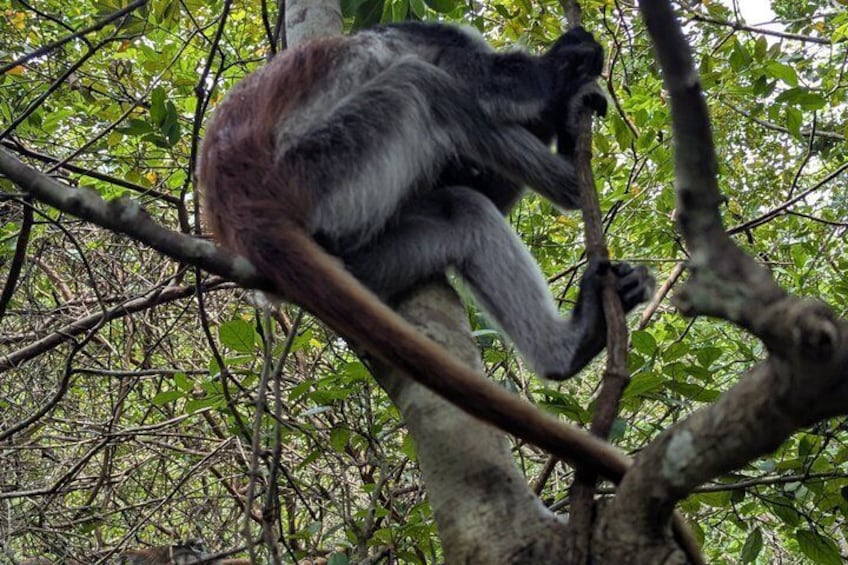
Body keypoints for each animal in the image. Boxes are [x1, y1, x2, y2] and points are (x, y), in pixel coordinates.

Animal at [199, 22, 654, 387]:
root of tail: (240, 210)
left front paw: (565, 117)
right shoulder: (440, 41)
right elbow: (491, 86)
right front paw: (568, 68)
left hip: (365, 251)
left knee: (462, 211)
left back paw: (570, 345)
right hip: (315, 175)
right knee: (422, 84)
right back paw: (570, 186)